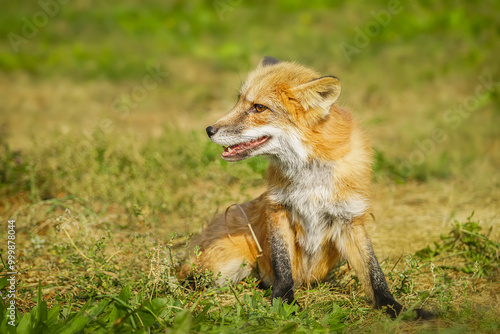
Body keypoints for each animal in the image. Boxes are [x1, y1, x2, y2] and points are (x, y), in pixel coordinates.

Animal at [182, 56, 432, 318]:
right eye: (239, 100)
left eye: (259, 108)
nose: (209, 130)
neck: (310, 178)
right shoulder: (278, 208)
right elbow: (283, 266)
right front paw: (284, 301)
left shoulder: (350, 218)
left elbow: (374, 274)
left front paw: (396, 308)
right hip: (225, 267)